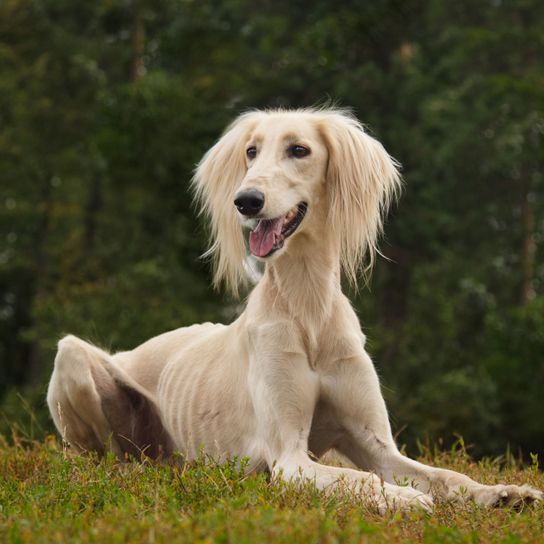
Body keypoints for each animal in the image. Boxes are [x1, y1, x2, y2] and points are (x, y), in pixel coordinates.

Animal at [49, 108, 540, 512]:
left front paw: (503, 493)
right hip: (73, 358)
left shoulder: (377, 446)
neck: (308, 307)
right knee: (101, 459)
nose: (246, 200)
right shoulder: (287, 457)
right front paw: (402, 498)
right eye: (251, 151)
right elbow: (359, 479)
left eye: (299, 150)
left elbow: (446, 476)